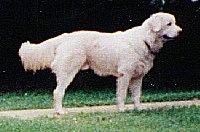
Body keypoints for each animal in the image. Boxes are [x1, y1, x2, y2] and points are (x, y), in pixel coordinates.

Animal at [18, 12, 181, 114]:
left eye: (174, 23)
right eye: (169, 24)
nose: (180, 31)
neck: (144, 39)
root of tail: (65, 37)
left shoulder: (137, 77)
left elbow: (136, 95)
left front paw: (139, 109)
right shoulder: (125, 75)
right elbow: (122, 95)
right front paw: (122, 110)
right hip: (68, 71)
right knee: (58, 92)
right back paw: (60, 112)